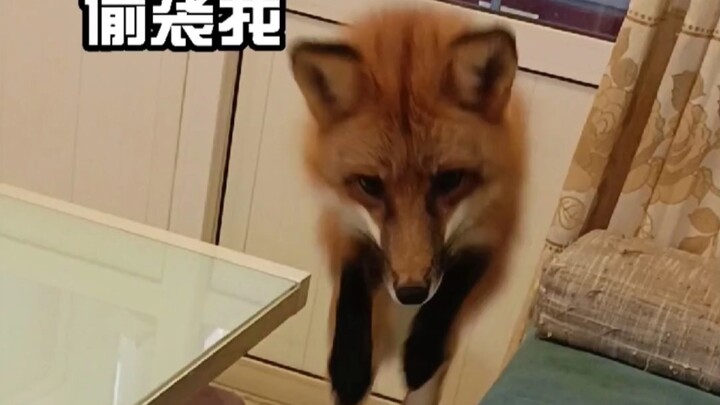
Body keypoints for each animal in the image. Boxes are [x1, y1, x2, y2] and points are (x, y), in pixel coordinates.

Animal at [289, 5, 526, 405]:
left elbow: (454, 286)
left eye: (450, 180)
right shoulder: (340, 222)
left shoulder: (495, 230)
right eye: (370, 185)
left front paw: (422, 351)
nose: (411, 294)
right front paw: (349, 365)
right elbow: (352, 285)